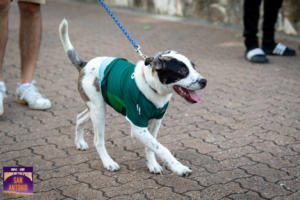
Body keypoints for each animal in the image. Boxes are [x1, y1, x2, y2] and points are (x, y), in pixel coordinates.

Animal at [58, 18, 206, 175]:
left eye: (194, 67)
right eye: (182, 71)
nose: (204, 81)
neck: (153, 87)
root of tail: (85, 65)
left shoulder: (156, 122)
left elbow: (151, 147)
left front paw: (152, 165)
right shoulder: (138, 126)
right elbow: (162, 148)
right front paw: (178, 167)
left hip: (96, 107)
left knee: (80, 117)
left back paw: (80, 143)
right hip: (98, 111)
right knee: (98, 140)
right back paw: (108, 162)